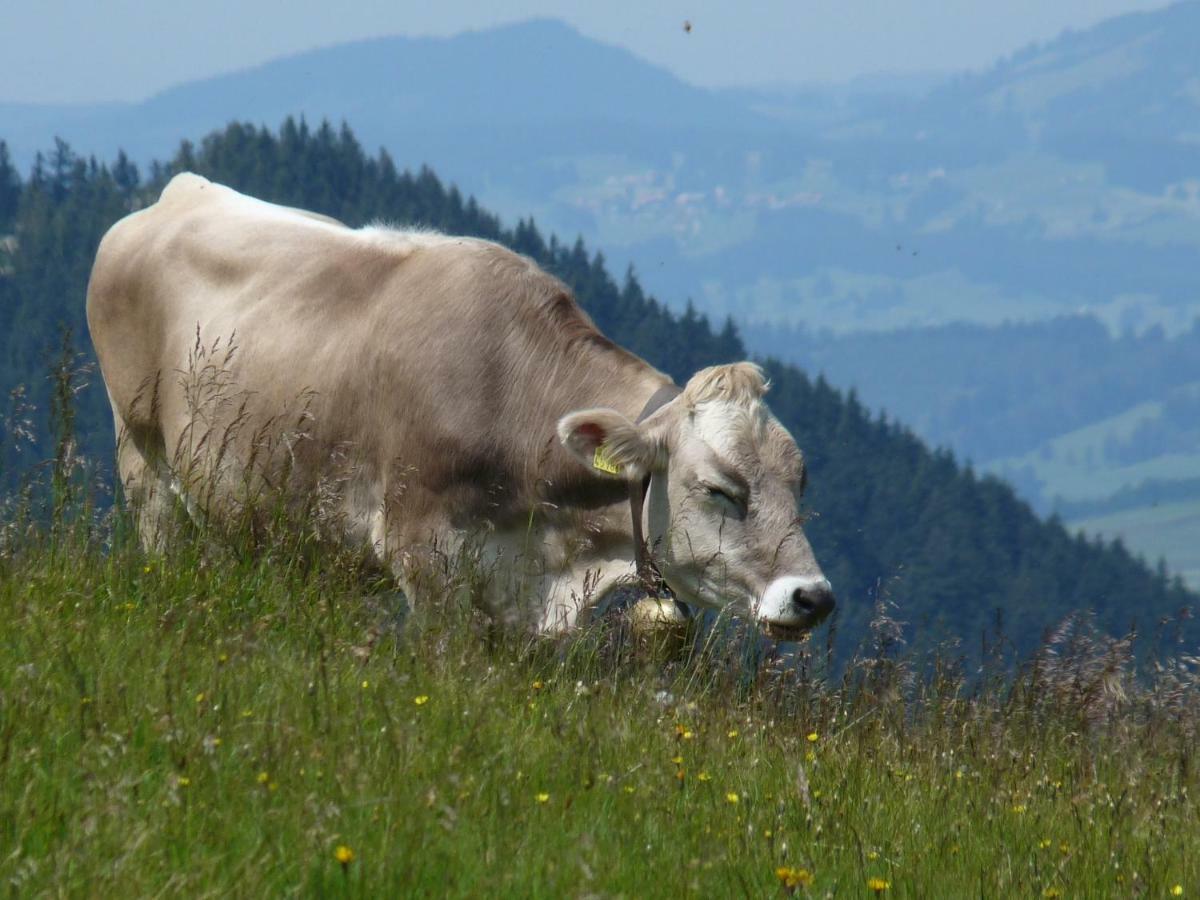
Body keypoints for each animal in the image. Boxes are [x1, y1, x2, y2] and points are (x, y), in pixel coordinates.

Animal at [87, 176, 835, 638]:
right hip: (143, 458)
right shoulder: (425, 554)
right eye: (719, 489)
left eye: (800, 483)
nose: (814, 596)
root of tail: (178, 193)